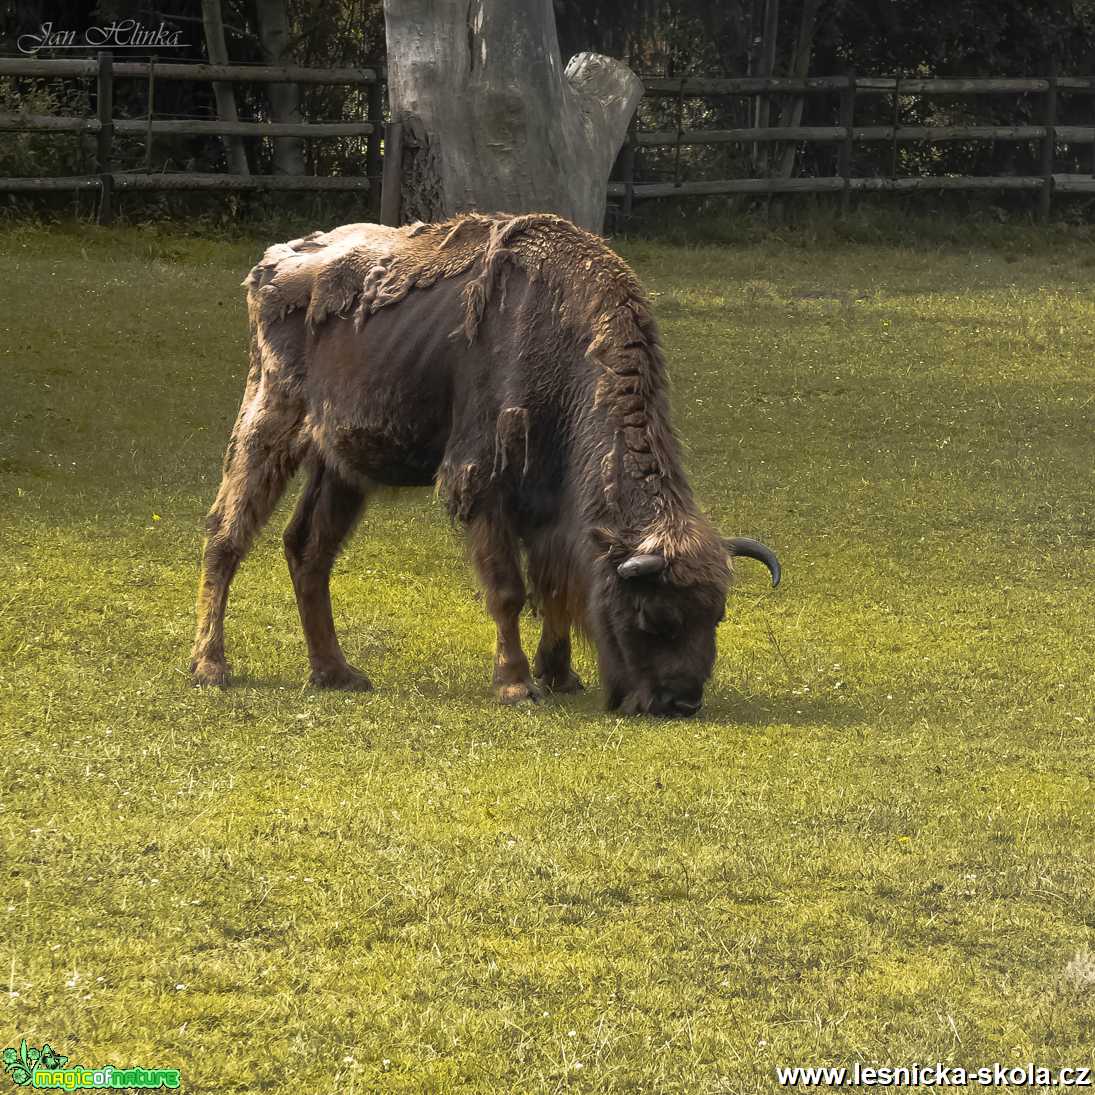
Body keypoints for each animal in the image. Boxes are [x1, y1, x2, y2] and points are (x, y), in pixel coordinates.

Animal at [194, 211, 779, 718]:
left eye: (717, 614)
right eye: (656, 614)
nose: (679, 703)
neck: (565, 340)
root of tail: (271, 263)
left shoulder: (548, 506)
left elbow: (554, 589)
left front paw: (560, 676)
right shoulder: (482, 486)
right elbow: (509, 590)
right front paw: (517, 685)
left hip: (342, 465)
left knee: (308, 550)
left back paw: (337, 672)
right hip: (270, 418)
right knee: (227, 532)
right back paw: (210, 666)